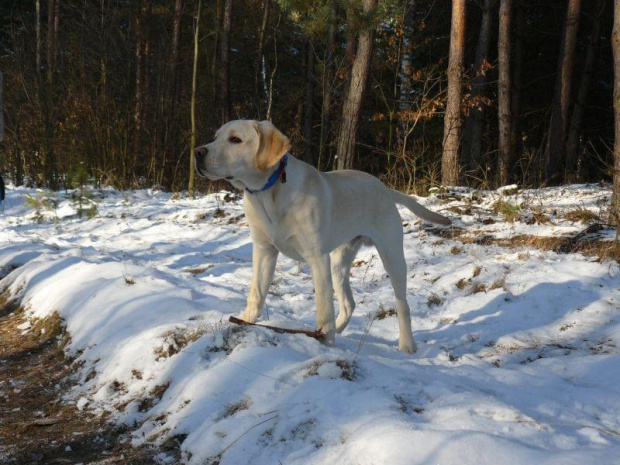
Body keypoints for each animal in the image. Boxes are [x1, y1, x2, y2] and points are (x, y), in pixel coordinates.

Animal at [195, 119, 450, 352]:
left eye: (235, 139)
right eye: (215, 137)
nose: (197, 152)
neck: (268, 194)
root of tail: (386, 190)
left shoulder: (317, 257)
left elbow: (323, 307)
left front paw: (324, 341)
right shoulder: (264, 250)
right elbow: (256, 294)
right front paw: (245, 321)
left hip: (391, 255)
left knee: (402, 304)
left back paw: (406, 344)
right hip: (339, 262)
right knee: (349, 303)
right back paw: (339, 329)